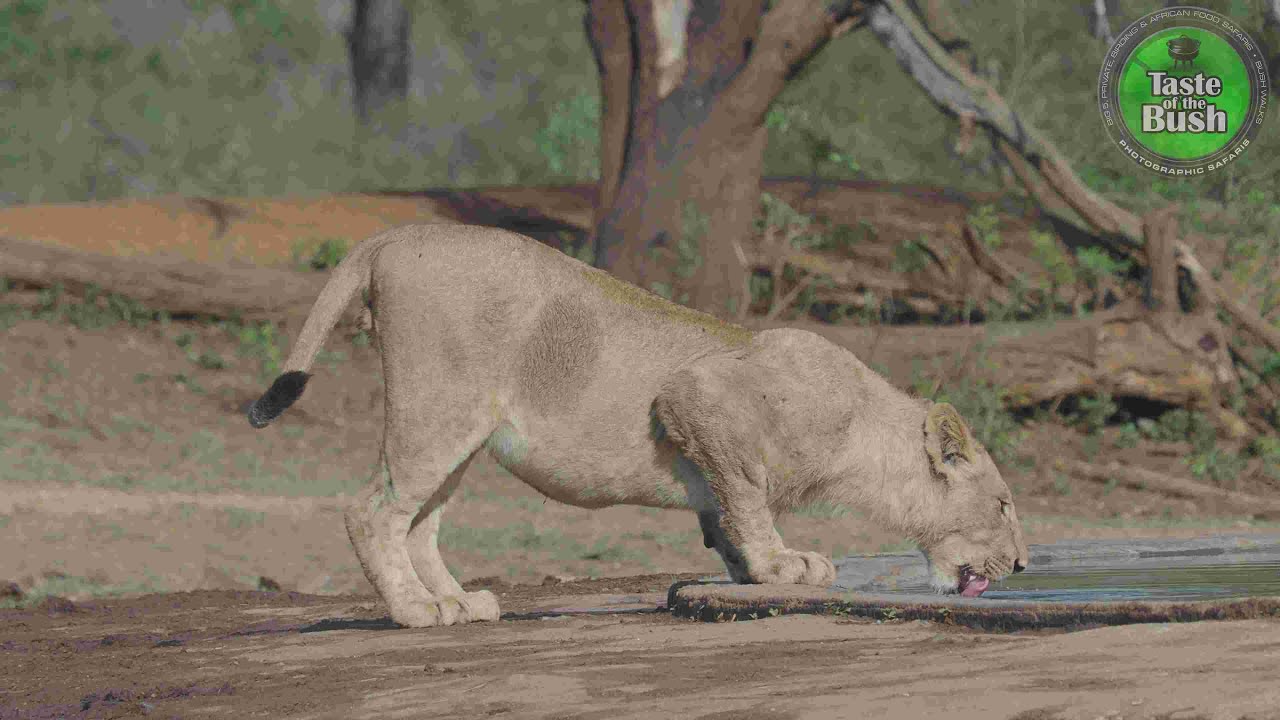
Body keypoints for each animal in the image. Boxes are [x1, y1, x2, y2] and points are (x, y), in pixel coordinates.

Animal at [248, 225, 1029, 627]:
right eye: (1001, 505)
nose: (1022, 566)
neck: (867, 434)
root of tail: (400, 232)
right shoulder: (698, 393)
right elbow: (750, 497)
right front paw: (783, 565)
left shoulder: (705, 432)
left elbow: (726, 511)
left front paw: (748, 566)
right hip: (436, 408)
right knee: (372, 511)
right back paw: (415, 609)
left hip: (461, 432)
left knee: (419, 523)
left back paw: (456, 600)